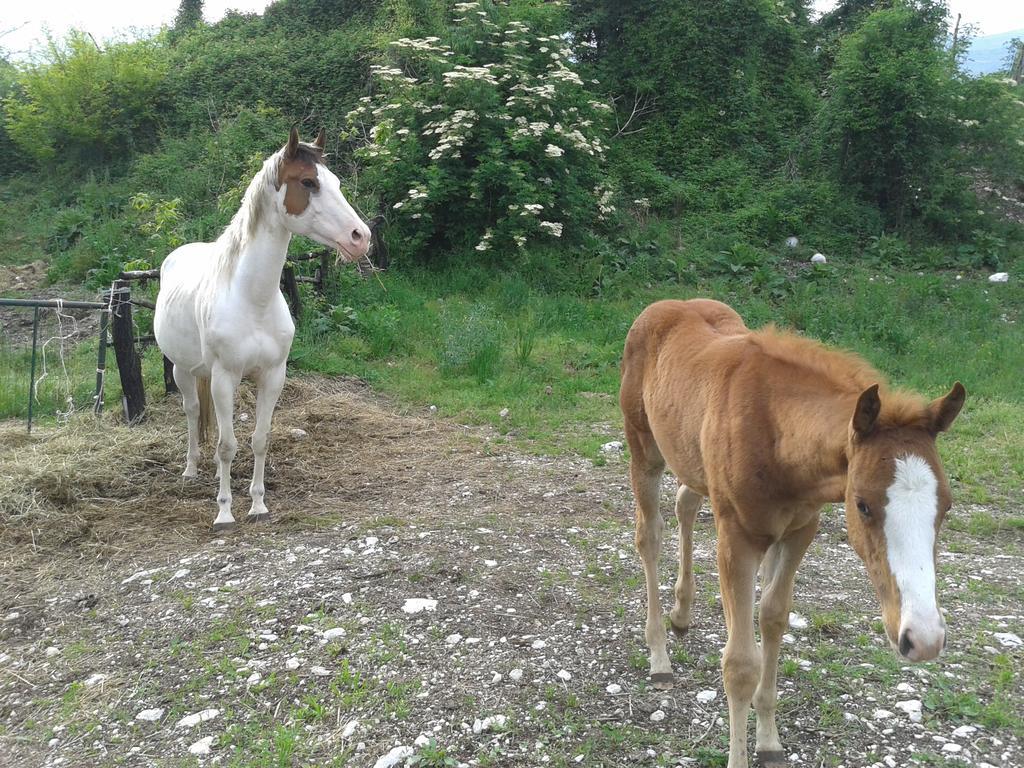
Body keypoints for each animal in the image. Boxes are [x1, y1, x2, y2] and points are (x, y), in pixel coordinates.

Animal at [153, 129, 370, 532]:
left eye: (335, 182)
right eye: (308, 182)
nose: (359, 237)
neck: (252, 299)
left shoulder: (272, 376)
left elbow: (259, 440)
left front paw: (257, 505)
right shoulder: (225, 377)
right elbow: (226, 446)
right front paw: (224, 512)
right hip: (182, 370)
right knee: (192, 412)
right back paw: (190, 469)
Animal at [618, 299, 962, 768]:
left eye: (946, 506)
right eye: (862, 505)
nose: (923, 639)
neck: (777, 435)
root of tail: (665, 306)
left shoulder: (800, 530)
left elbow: (774, 617)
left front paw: (768, 741)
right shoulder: (736, 539)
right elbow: (740, 664)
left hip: (691, 458)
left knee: (686, 502)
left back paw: (682, 613)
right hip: (644, 450)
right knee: (648, 536)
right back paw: (659, 658)